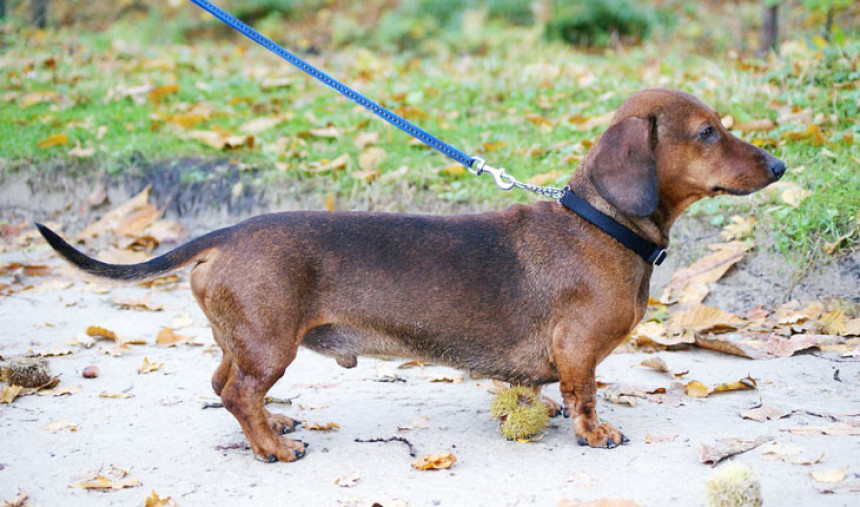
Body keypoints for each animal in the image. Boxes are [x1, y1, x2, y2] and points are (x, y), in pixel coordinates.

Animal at [35, 89, 788, 462]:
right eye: (708, 132)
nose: (781, 166)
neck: (601, 226)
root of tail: (230, 232)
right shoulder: (578, 351)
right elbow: (585, 395)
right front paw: (594, 434)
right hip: (270, 344)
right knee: (240, 394)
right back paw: (275, 446)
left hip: (245, 339)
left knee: (224, 386)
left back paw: (276, 424)